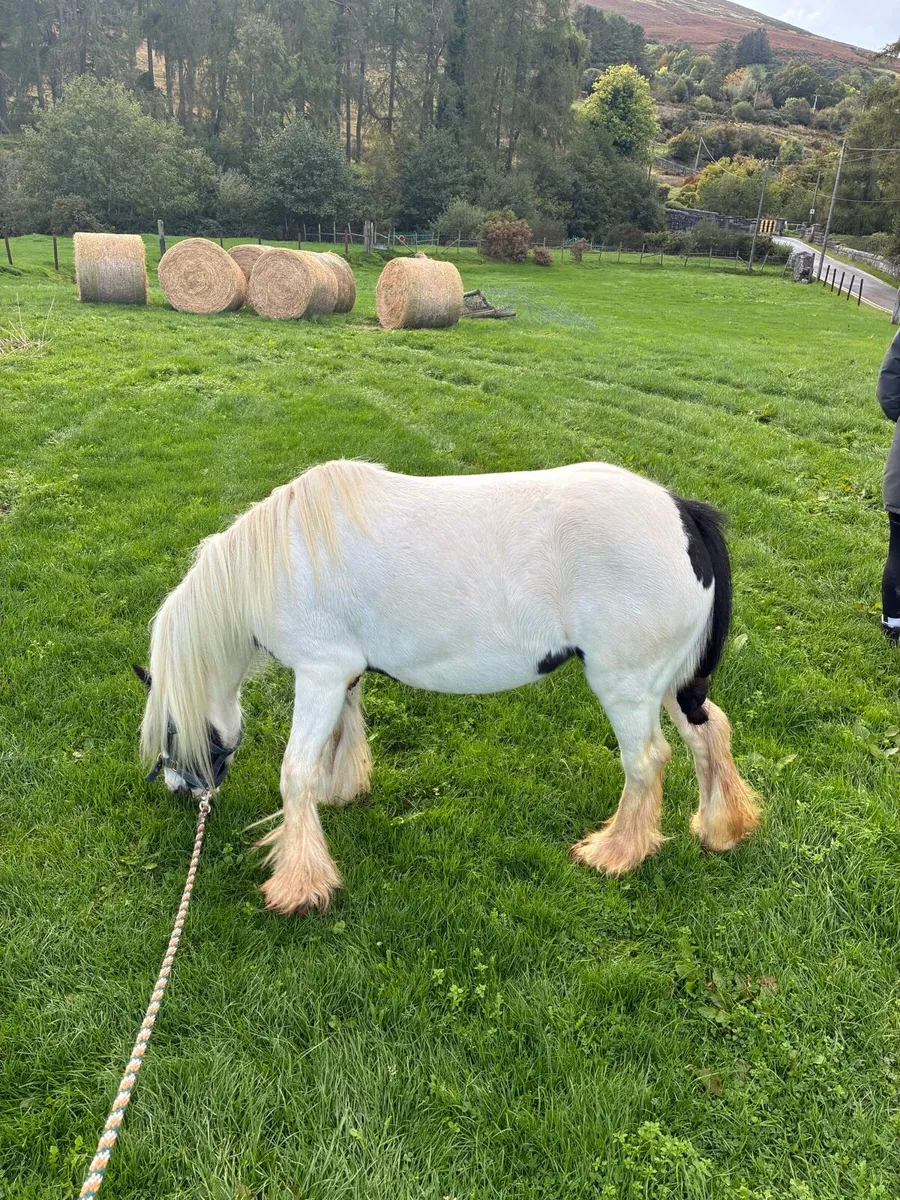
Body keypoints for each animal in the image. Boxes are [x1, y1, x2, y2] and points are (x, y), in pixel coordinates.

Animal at [135, 459, 760, 915]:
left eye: (169, 730)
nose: (181, 790)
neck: (282, 560)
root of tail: (682, 512)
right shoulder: (343, 675)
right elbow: (340, 738)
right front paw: (340, 793)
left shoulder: (319, 674)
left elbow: (295, 773)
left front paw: (298, 886)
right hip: (672, 683)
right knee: (708, 733)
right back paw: (721, 828)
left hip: (625, 685)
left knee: (647, 760)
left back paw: (615, 853)